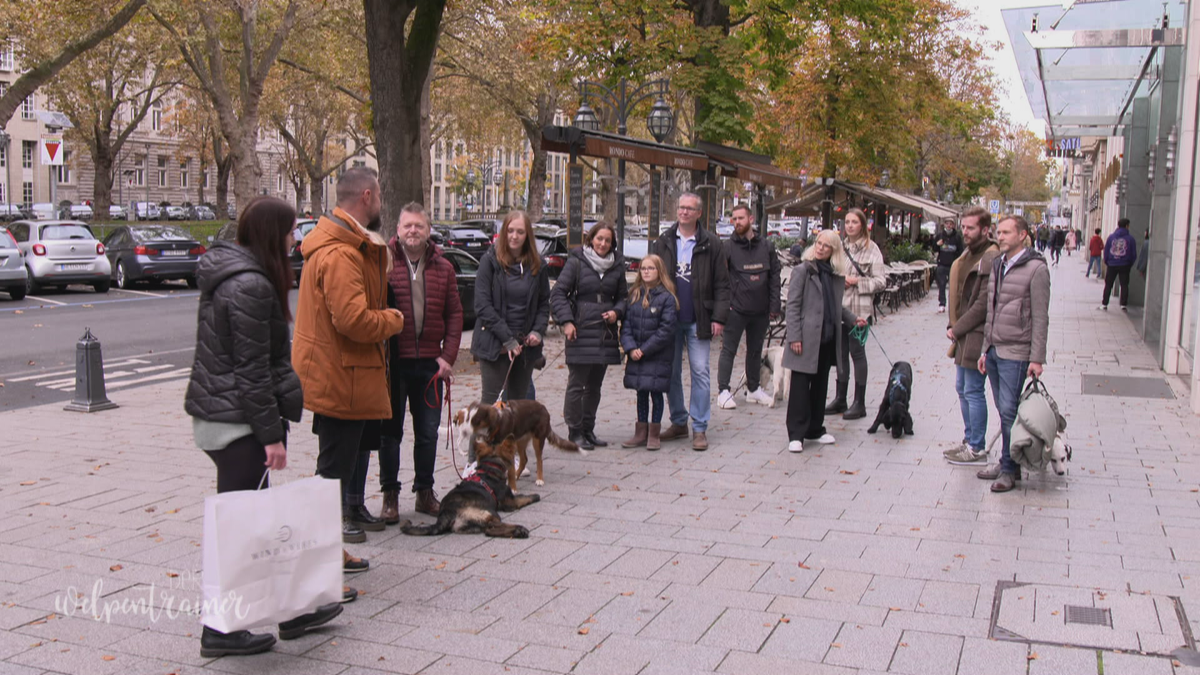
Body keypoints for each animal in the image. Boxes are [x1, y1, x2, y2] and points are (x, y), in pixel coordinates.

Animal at [398, 437, 540, 535]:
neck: (489, 469)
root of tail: (446, 513)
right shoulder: (509, 501)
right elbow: (524, 498)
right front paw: (535, 496)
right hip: (488, 513)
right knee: (491, 528)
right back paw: (519, 529)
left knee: (489, 530)